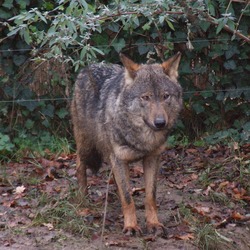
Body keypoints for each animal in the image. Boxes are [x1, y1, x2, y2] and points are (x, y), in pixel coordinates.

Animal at [71, 51, 183, 235]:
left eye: (165, 96)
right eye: (145, 97)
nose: (160, 123)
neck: (142, 139)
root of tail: (89, 66)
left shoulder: (152, 158)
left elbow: (150, 197)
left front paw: (153, 224)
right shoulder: (119, 159)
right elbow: (128, 198)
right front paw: (130, 226)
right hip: (87, 147)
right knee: (80, 165)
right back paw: (82, 199)